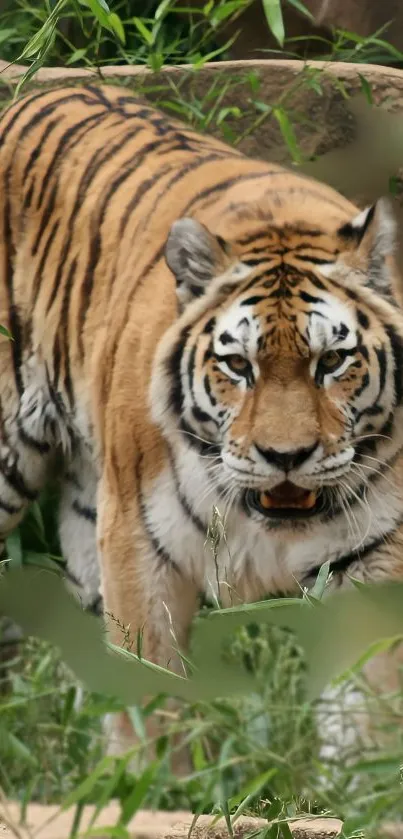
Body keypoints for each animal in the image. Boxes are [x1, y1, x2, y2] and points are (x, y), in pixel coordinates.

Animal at [0, 87, 403, 768]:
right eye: (239, 365)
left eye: (332, 361)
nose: (286, 456)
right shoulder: (139, 544)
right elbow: (152, 690)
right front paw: (153, 782)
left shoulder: (372, 554)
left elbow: (368, 699)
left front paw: (361, 774)